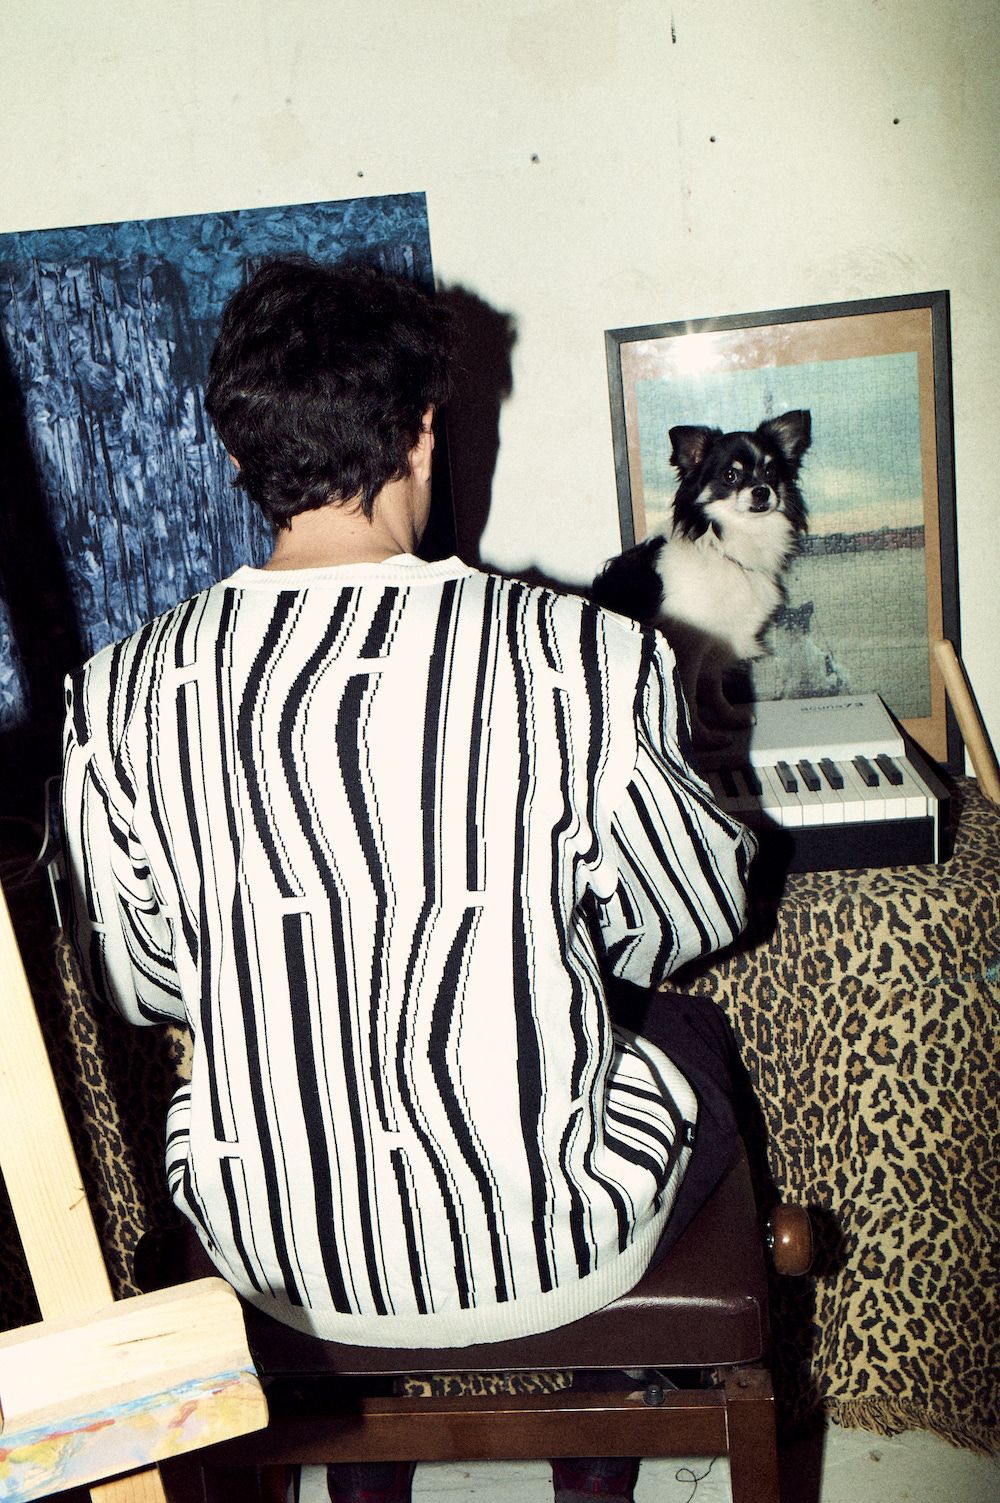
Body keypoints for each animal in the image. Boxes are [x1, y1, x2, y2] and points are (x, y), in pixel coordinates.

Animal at [592, 410, 811, 750]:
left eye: (771, 471)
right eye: (730, 476)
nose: (762, 491)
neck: (724, 546)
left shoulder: (717, 644)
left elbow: (711, 686)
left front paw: (729, 718)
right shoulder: (688, 648)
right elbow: (687, 699)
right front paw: (702, 737)